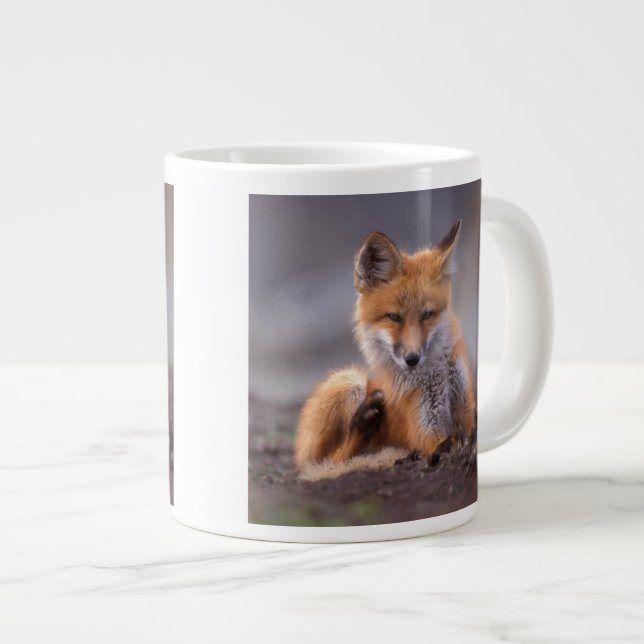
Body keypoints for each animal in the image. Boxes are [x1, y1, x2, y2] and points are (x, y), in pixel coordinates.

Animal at [294, 220, 475, 481]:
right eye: (394, 317)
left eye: (427, 315)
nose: (412, 359)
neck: (437, 373)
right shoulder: (426, 429)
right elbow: (441, 444)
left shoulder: (465, 403)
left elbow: (469, 434)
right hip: (349, 381)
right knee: (332, 461)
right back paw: (364, 425)